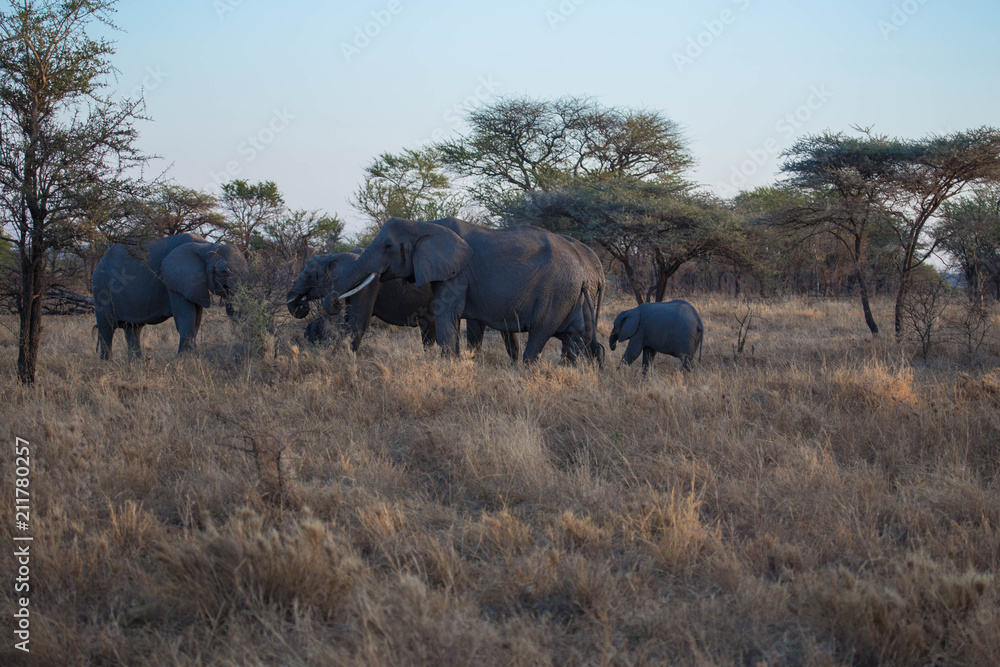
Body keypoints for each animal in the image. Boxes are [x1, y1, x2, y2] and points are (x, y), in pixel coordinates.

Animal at [92, 233, 248, 359]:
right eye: (222, 271)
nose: (228, 296)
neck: (206, 246)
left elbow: (197, 318)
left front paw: (193, 356)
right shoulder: (174, 280)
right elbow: (186, 317)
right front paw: (185, 359)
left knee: (132, 328)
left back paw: (136, 364)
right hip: (101, 286)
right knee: (107, 327)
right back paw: (107, 363)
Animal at [325, 217, 605, 364]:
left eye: (388, 246)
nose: (334, 304)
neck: (424, 225)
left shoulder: (457, 274)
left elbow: (447, 316)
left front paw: (449, 367)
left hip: (557, 292)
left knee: (541, 334)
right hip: (570, 295)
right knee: (576, 336)